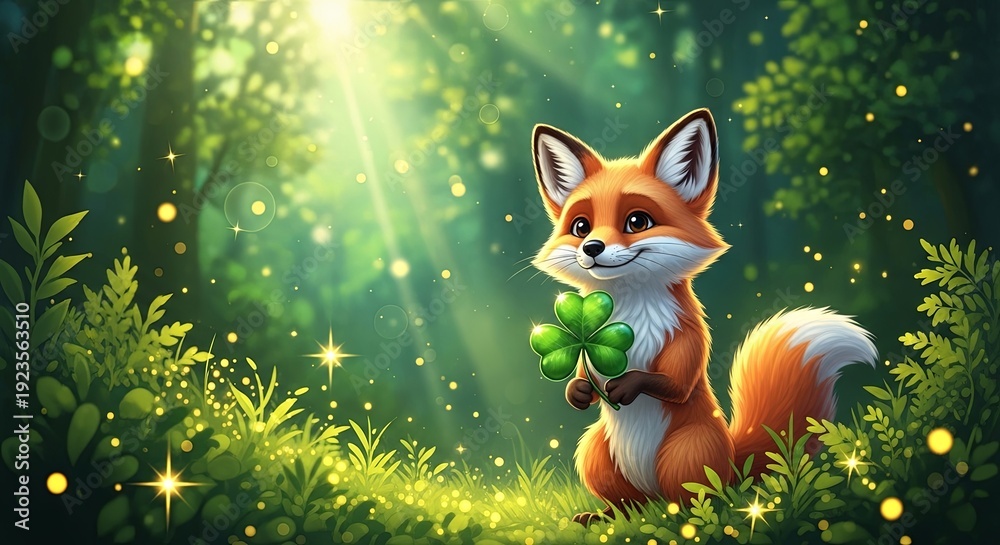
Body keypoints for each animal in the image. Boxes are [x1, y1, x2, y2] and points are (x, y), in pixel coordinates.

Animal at [530, 109, 877, 525]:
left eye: (637, 221)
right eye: (580, 226)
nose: (592, 247)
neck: (631, 315)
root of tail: (733, 459)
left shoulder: (689, 338)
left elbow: (674, 382)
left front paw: (627, 386)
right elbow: (585, 376)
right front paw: (579, 391)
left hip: (686, 452)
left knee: (700, 499)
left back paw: (688, 518)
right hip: (596, 451)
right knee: (629, 506)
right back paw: (607, 517)